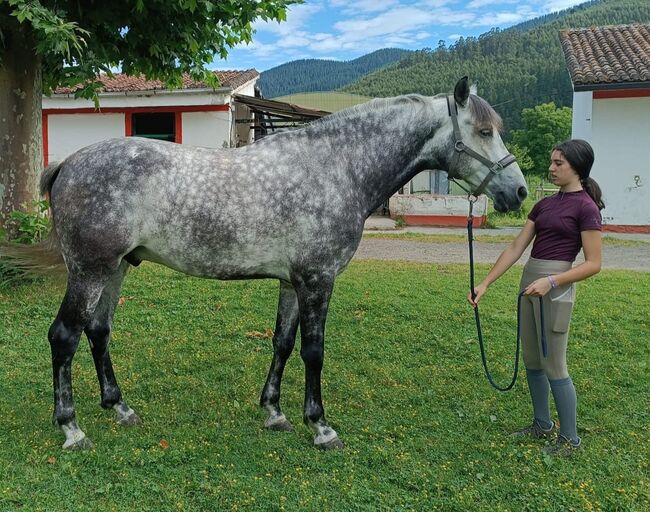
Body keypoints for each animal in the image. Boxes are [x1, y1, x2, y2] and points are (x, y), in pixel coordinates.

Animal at [33, 76, 528, 448]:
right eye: (484, 131)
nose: (519, 192)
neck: (339, 168)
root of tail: (67, 164)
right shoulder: (318, 280)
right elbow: (314, 351)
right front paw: (321, 426)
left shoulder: (293, 282)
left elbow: (283, 343)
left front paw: (274, 412)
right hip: (90, 272)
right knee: (64, 337)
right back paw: (71, 427)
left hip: (115, 268)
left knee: (98, 332)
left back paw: (120, 407)